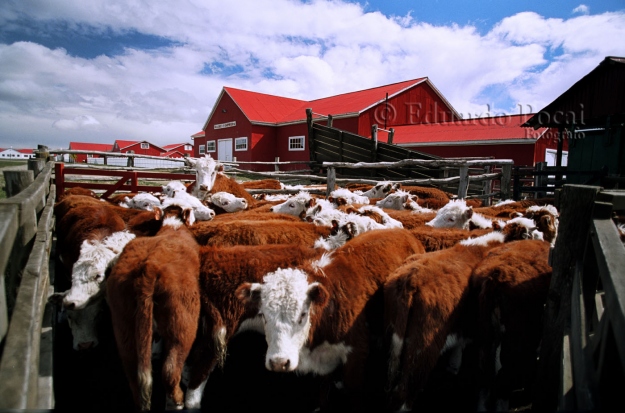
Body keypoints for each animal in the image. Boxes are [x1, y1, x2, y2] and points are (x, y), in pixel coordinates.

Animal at [106, 204, 200, 410]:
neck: (172, 227)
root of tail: (149, 268)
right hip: (183, 322)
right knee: (170, 370)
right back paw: (178, 400)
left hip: (123, 324)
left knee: (133, 372)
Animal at [236, 227, 426, 410]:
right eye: (263, 315)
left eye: (303, 314)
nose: (279, 362)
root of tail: (406, 233)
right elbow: (323, 390)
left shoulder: (356, 354)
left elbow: (354, 394)